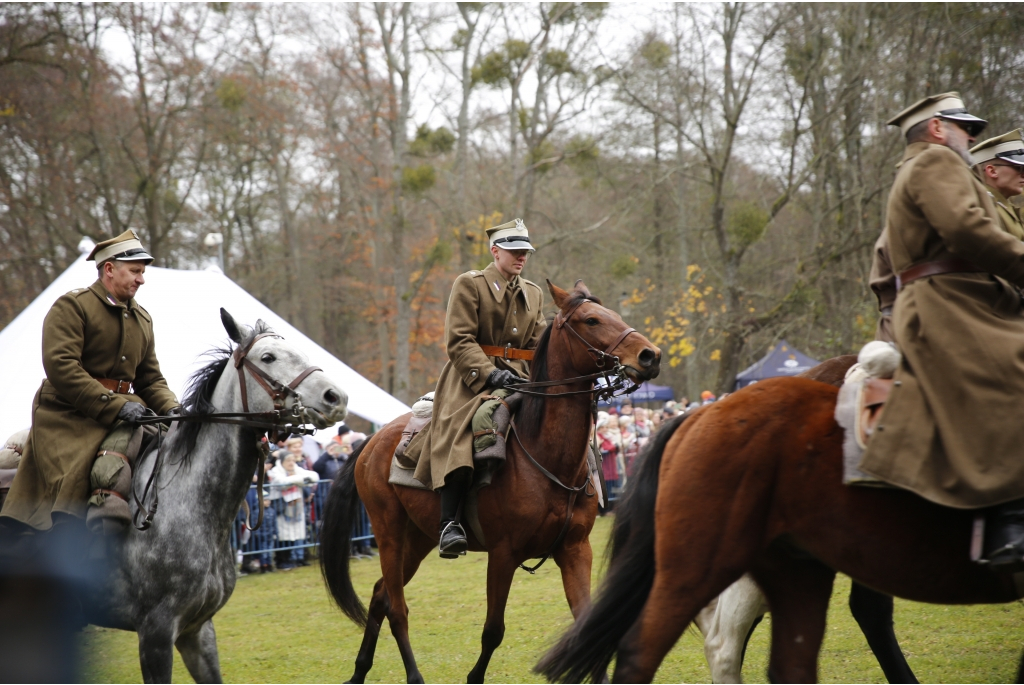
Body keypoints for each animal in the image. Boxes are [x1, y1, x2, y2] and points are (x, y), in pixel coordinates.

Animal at [319, 280, 663, 679]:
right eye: (591, 320)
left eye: (615, 315)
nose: (650, 356)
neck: (547, 457)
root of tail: (372, 441)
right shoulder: (502, 555)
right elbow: (493, 631)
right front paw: (474, 677)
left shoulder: (576, 550)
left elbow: (587, 624)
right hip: (389, 532)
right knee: (397, 608)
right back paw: (414, 676)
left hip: (418, 539)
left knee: (379, 595)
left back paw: (359, 672)